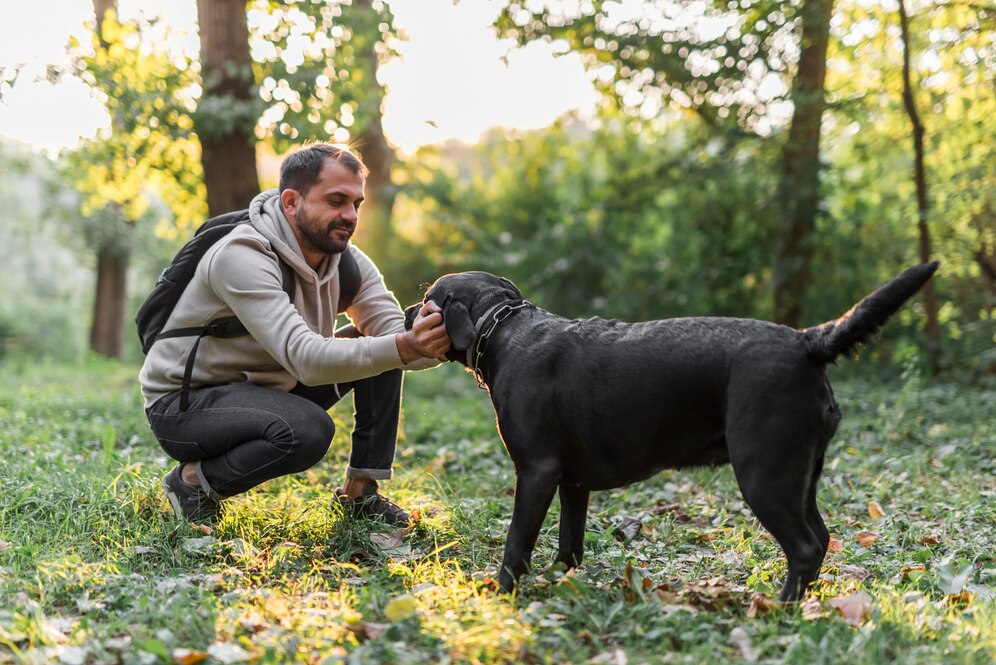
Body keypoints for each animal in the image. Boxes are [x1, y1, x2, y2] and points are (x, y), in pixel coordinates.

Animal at [402, 262, 932, 600]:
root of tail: (807, 341)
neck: (504, 328)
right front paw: (562, 582)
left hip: (764, 472)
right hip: (801, 474)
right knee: (820, 538)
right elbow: (570, 542)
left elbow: (517, 543)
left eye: (427, 300)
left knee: (803, 546)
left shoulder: (536, 472)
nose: (406, 313)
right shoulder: (573, 481)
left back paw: (779, 608)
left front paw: (500, 591)